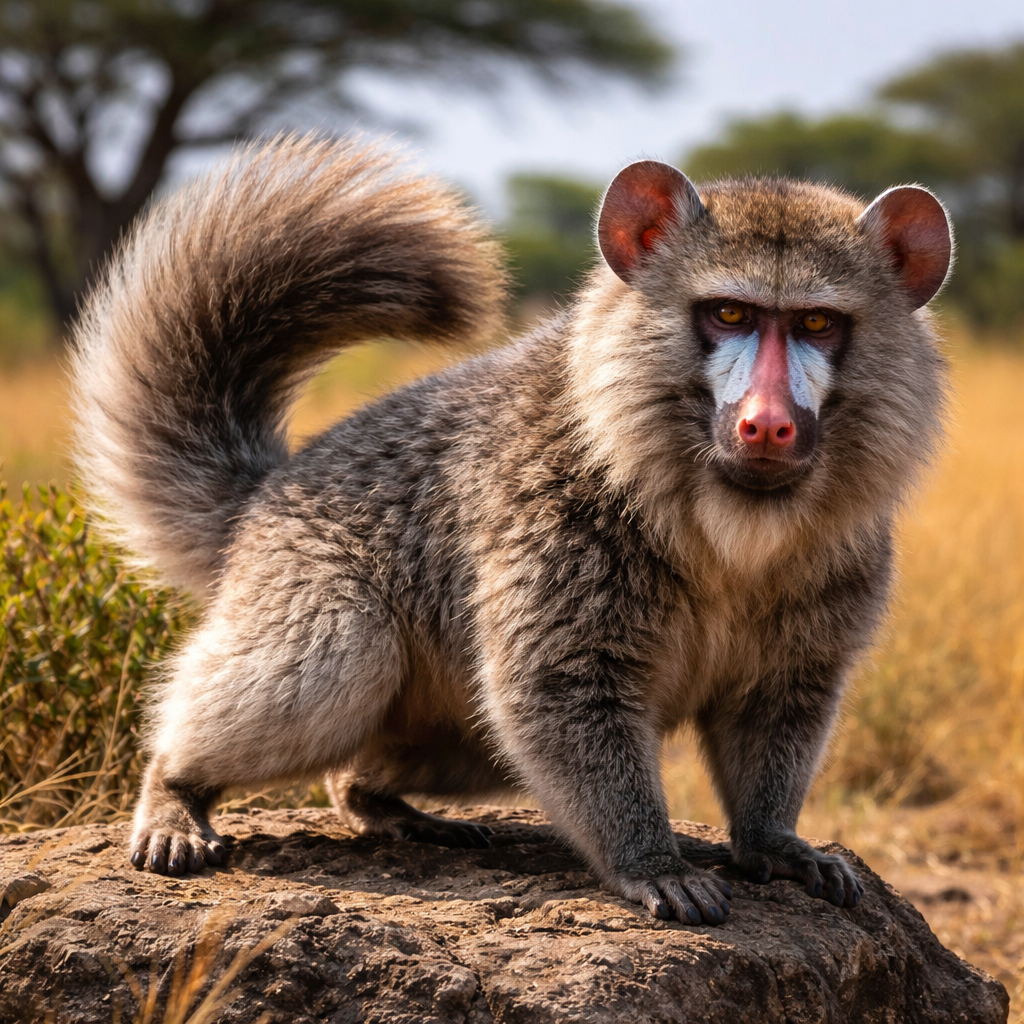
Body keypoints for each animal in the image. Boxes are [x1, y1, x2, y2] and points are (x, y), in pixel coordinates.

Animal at [71, 135, 952, 926]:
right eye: (728, 313)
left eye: (817, 325)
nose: (766, 425)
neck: (729, 516)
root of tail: (264, 491)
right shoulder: (553, 541)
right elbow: (559, 694)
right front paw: (650, 859)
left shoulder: (819, 617)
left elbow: (776, 720)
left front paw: (772, 840)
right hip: (313, 597)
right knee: (323, 665)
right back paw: (173, 791)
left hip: (448, 727)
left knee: (368, 771)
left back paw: (385, 804)